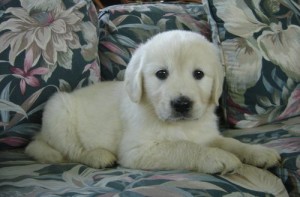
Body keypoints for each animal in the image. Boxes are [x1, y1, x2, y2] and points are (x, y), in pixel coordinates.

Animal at [24, 29, 280, 174]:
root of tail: (39, 136)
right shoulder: (137, 151)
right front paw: (216, 157)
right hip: (58, 109)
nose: (182, 104)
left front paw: (258, 152)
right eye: (161, 74)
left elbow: (231, 142)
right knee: (72, 151)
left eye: (198, 74)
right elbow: (183, 147)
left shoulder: (208, 135)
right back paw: (97, 156)